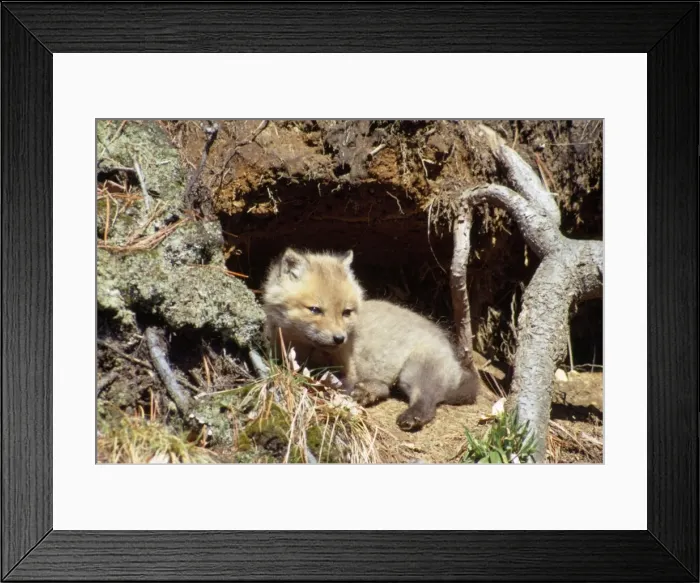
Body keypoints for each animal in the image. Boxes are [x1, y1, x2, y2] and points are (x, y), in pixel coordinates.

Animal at [261, 247, 480, 431]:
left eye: (346, 312)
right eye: (315, 310)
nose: (339, 338)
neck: (307, 351)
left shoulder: (348, 372)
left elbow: (340, 384)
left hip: (414, 373)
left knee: (428, 402)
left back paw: (411, 415)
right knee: (386, 390)